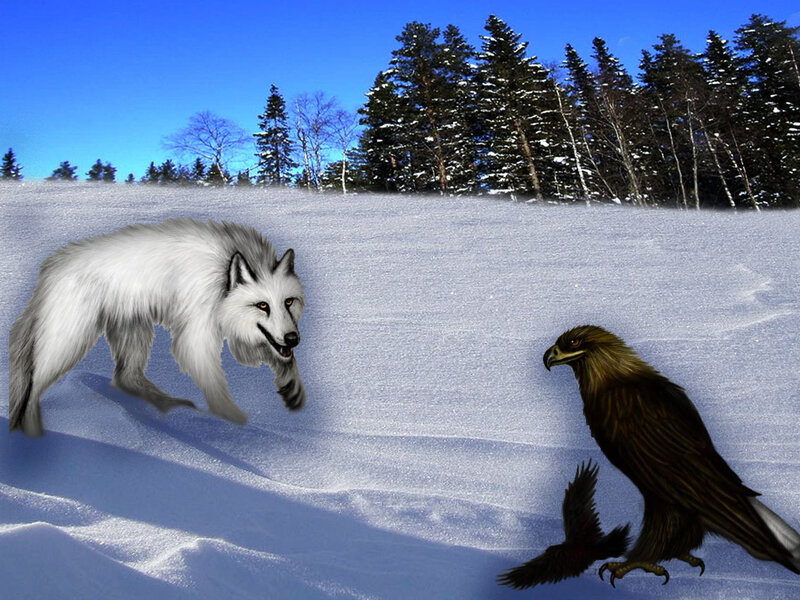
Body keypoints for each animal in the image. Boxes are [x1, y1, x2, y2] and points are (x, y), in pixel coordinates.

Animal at [9, 218, 306, 437]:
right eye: (262, 305)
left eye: (289, 301)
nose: (293, 339)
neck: (222, 268)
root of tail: (50, 267)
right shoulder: (196, 335)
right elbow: (216, 386)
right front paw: (235, 422)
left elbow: (283, 360)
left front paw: (291, 385)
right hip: (71, 340)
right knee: (33, 386)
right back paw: (34, 435)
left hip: (134, 330)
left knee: (124, 377)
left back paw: (169, 406)